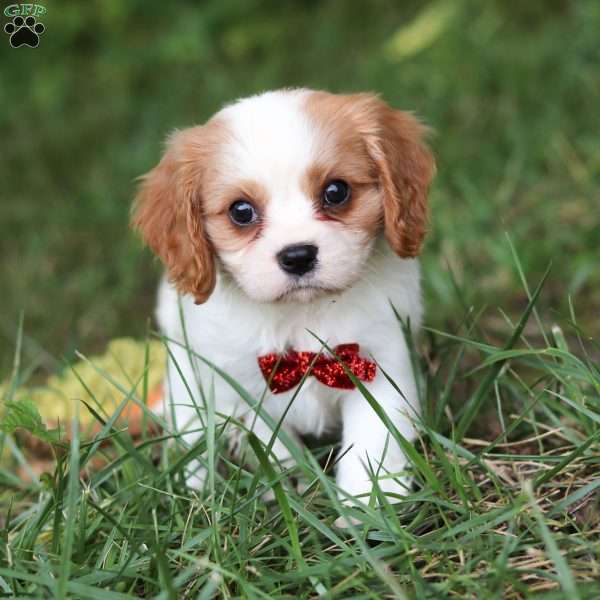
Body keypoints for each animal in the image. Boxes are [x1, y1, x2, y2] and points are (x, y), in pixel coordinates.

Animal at [131, 89, 434, 502]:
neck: (301, 314)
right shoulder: (237, 386)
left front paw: (368, 502)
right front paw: (292, 486)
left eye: (336, 192)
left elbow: (373, 440)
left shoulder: (383, 361)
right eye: (241, 211)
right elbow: (269, 443)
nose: (298, 255)